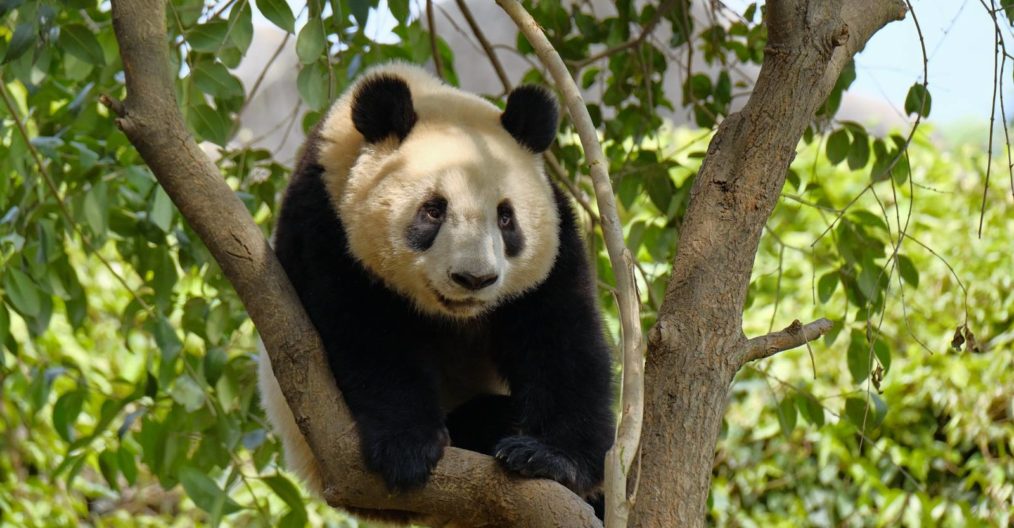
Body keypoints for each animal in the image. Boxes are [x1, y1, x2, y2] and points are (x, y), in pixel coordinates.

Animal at [257, 61, 612, 518]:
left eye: (506, 218)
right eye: (433, 210)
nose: (474, 279)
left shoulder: (554, 246)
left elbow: (561, 338)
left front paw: (550, 457)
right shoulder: (325, 225)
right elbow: (367, 336)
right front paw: (408, 448)